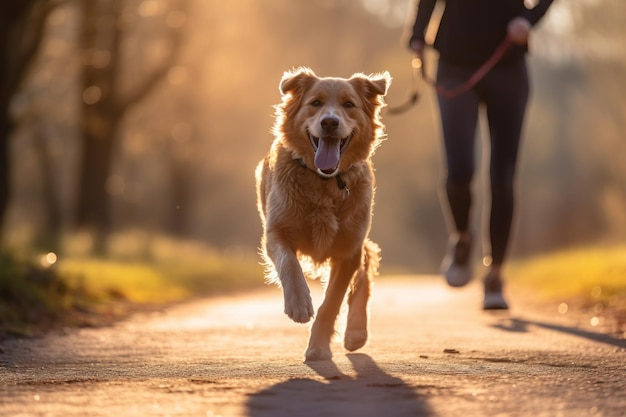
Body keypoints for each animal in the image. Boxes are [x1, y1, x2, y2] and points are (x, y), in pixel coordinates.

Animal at [255, 66, 390, 360]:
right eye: (315, 103)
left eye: (349, 105)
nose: (329, 123)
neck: (324, 182)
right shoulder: (276, 231)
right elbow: (289, 263)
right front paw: (298, 304)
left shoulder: (348, 250)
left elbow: (331, 303)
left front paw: (318, 346)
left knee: (365, 273)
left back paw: (356, 332)